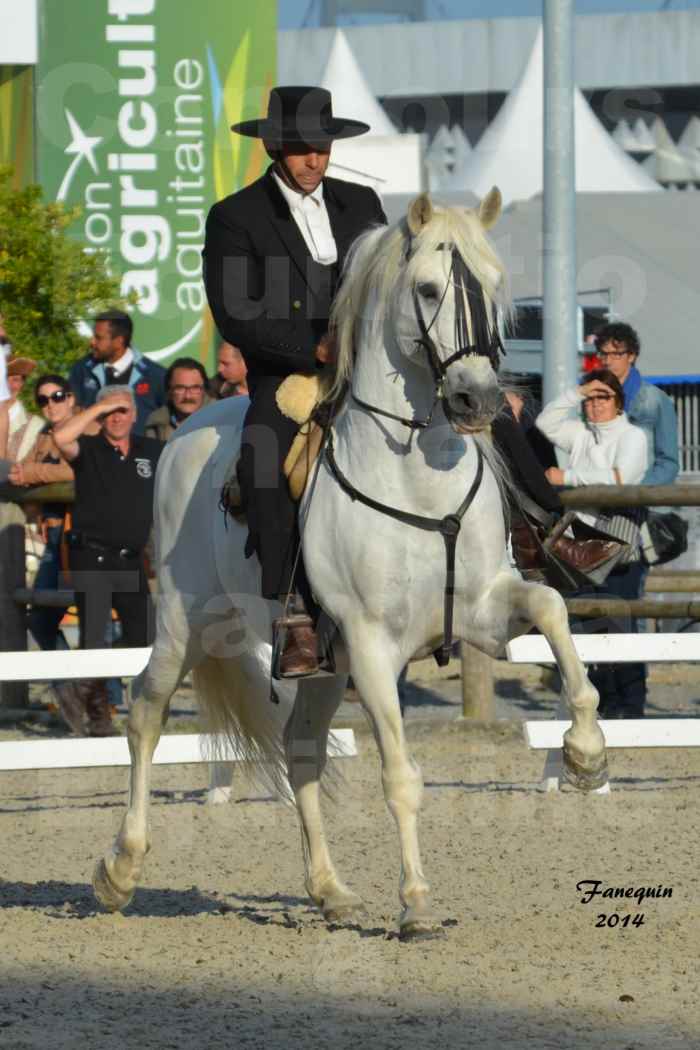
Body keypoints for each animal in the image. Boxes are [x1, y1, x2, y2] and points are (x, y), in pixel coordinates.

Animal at [92, 188, 608, 936]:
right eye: (427, 289)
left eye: (493, 286)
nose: (480, 400)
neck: (420, 478)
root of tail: (190, 427)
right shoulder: (372, 646)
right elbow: (400, 776)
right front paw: (417, 903)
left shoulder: (483, 611)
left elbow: (553, 609)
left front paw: (586, 756)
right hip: (190, 625)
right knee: (145, 712)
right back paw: (120, 871)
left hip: (320, 661)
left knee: (301, 747)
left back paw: (329, 891)